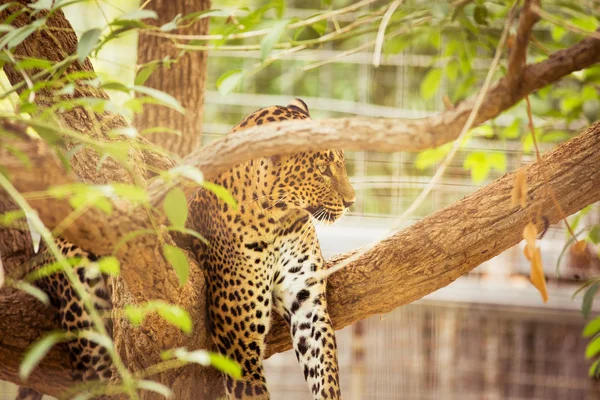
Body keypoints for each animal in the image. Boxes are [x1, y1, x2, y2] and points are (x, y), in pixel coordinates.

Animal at [189, 97, 356, 400]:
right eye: (323, 170)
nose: (352, 201)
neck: (278, 222)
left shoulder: (308, 305)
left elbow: (325, 372)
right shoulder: (239, 342)